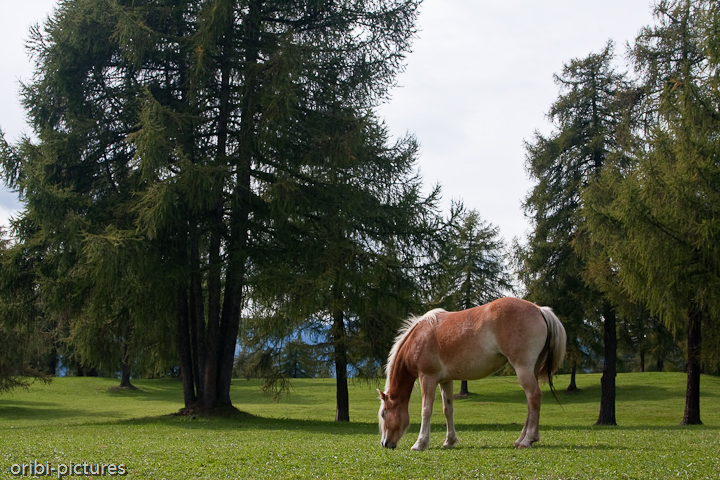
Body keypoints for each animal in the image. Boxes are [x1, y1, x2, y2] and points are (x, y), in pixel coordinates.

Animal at [376, 296, 568, 450]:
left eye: (384, 414)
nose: (385, 444)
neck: (420, 336)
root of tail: (540, 310)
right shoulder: (445, 381)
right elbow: (448, 409)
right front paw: (449, 441)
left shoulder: (427, 378)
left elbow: (426, 410)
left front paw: (420, 443)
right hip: (531, 370)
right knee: (530, 402)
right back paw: (521, 439)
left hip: (523, 368)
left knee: (534, 397)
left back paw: (528, 440)